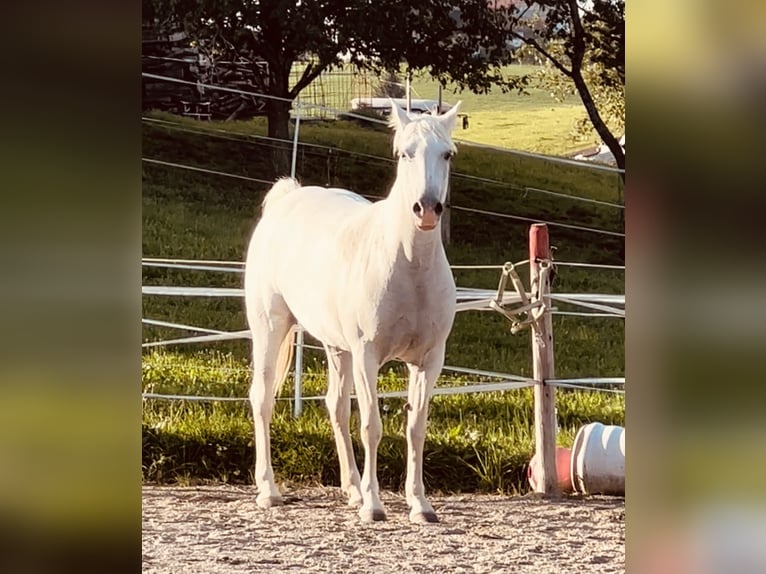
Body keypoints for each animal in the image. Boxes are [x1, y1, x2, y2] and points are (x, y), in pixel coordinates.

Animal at [246, 100, 462, 528]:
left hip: (337, 349)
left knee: (336, 407)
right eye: (404, 153)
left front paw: (420, 505)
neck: (410, 267)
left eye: (446, 154)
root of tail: (287, 199)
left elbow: (415, 428)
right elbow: (372, 426)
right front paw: (374, 506)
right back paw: (269, 492)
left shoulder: (429, 361)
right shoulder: (368, 356)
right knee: (261, 398)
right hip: (270, 328)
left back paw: (351, 488)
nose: (427, 210)